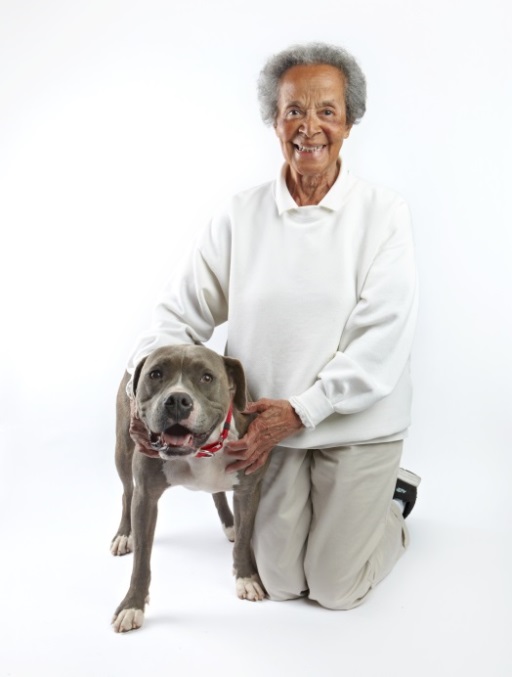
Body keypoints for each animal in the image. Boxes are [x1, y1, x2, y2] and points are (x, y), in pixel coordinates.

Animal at [111, 346, 268, 632]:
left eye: (207, 377)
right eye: (155, 374)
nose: (177, 400)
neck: (201, 450)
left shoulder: (248, 491)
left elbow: (243, 540)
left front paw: (246, 578)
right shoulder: (146, 498)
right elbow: (141, 560)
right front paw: (132, 606)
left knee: (217, 493)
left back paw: (230, 525)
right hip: (122, 450)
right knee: (126, 492)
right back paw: (124, 535)